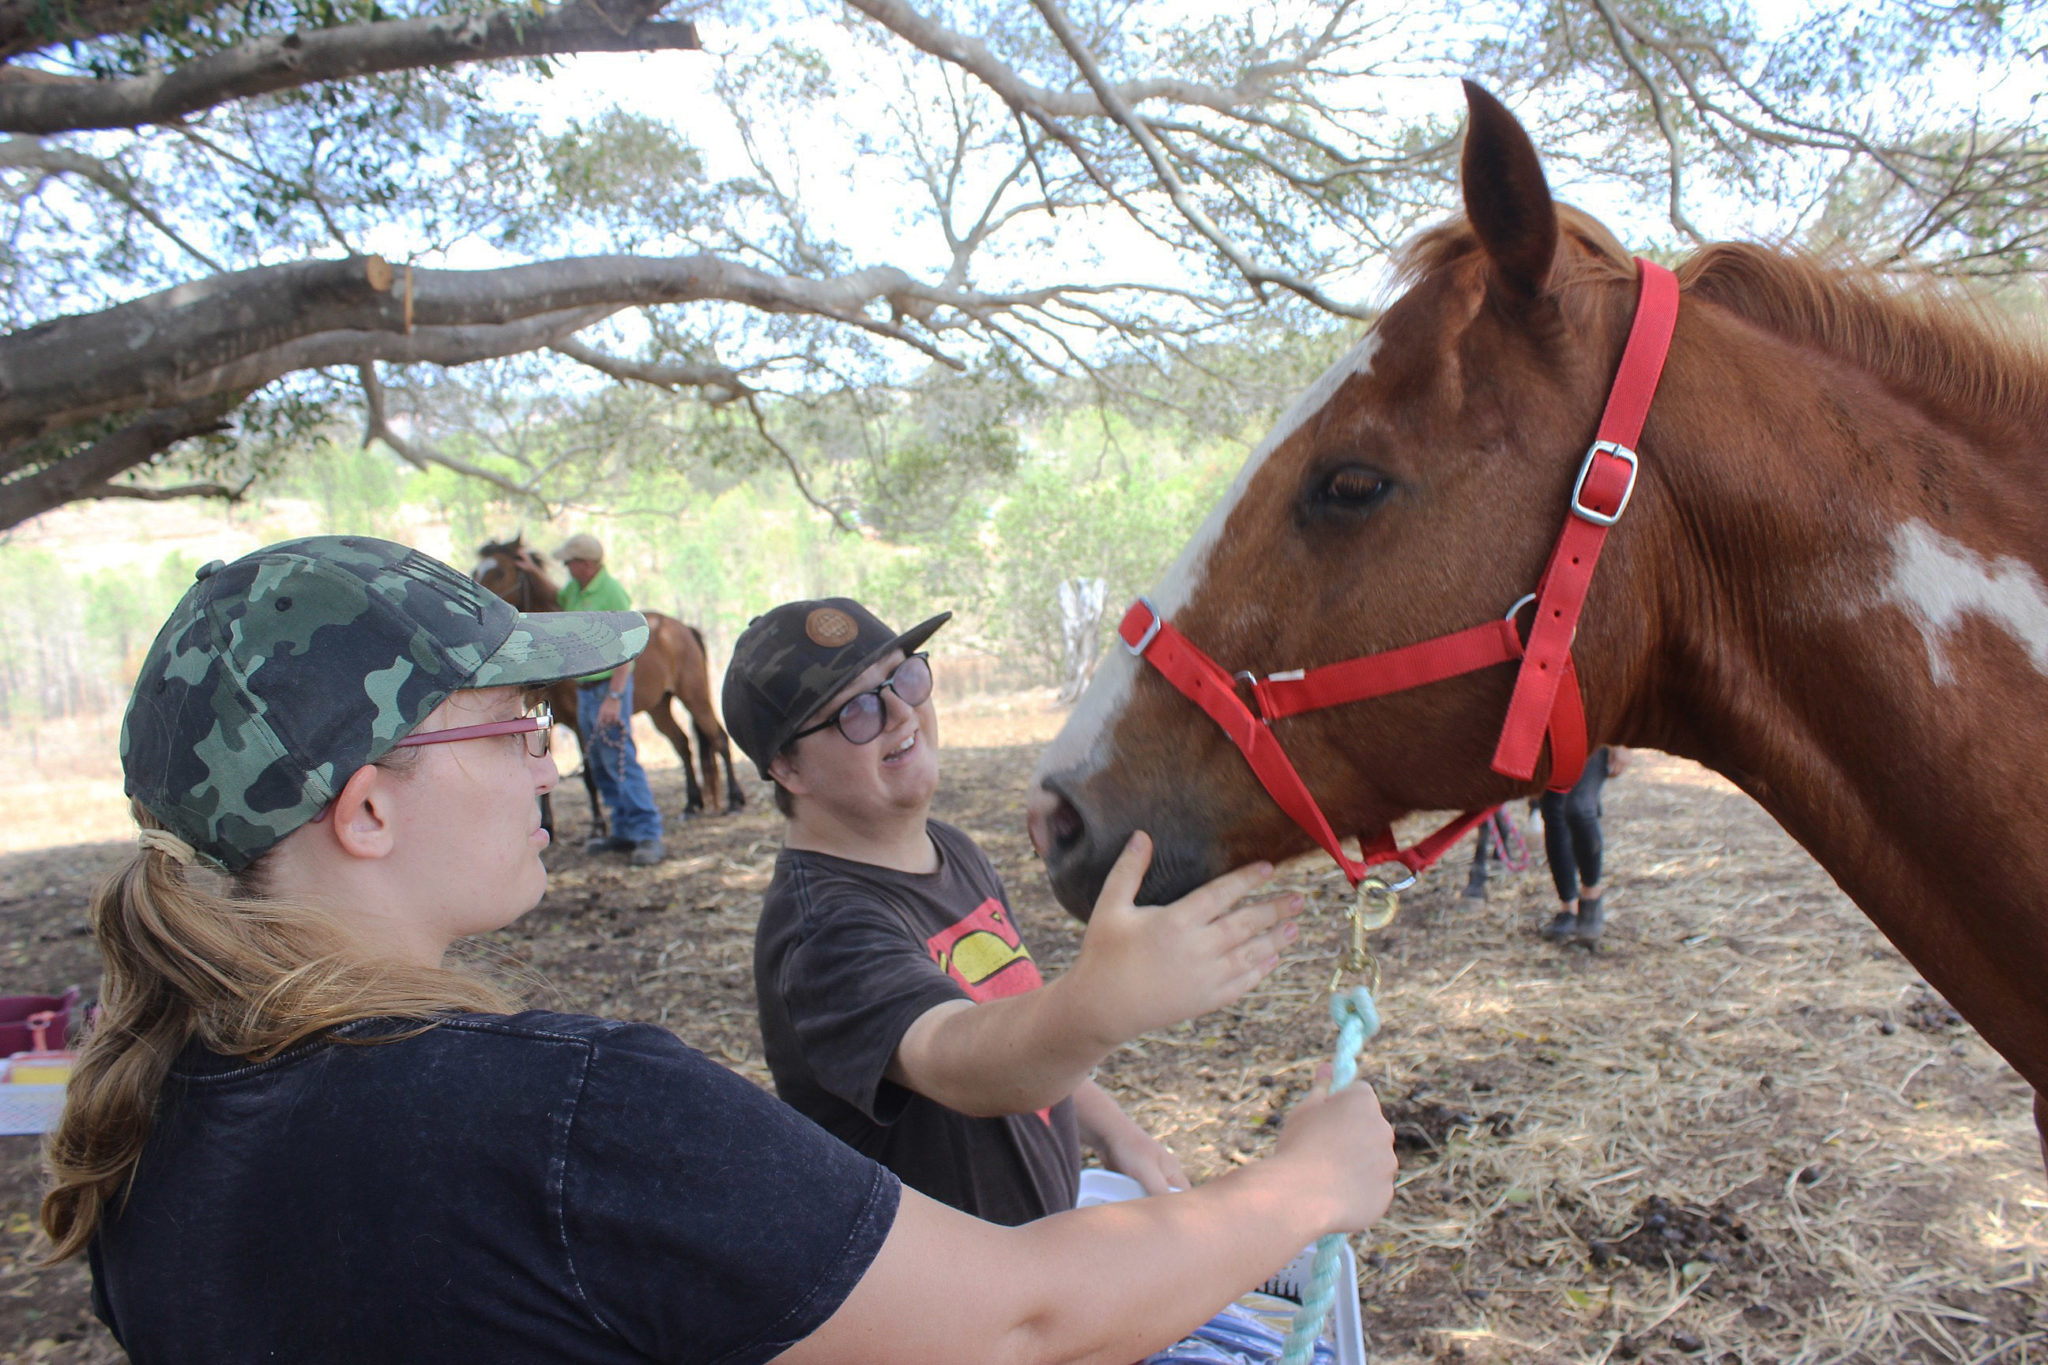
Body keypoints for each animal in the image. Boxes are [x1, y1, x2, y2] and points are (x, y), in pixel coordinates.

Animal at [471, 540, 745, 826]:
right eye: (476, 572)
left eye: (500, 572)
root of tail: (681, 627)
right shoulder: (540, 721)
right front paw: (548, 825)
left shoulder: (580, 725)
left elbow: (589, 775)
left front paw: (599, 826)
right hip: (659, 707)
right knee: (683, 745)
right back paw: (692, 804)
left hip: (694, 697)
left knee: (718, 738)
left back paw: (734, 800)